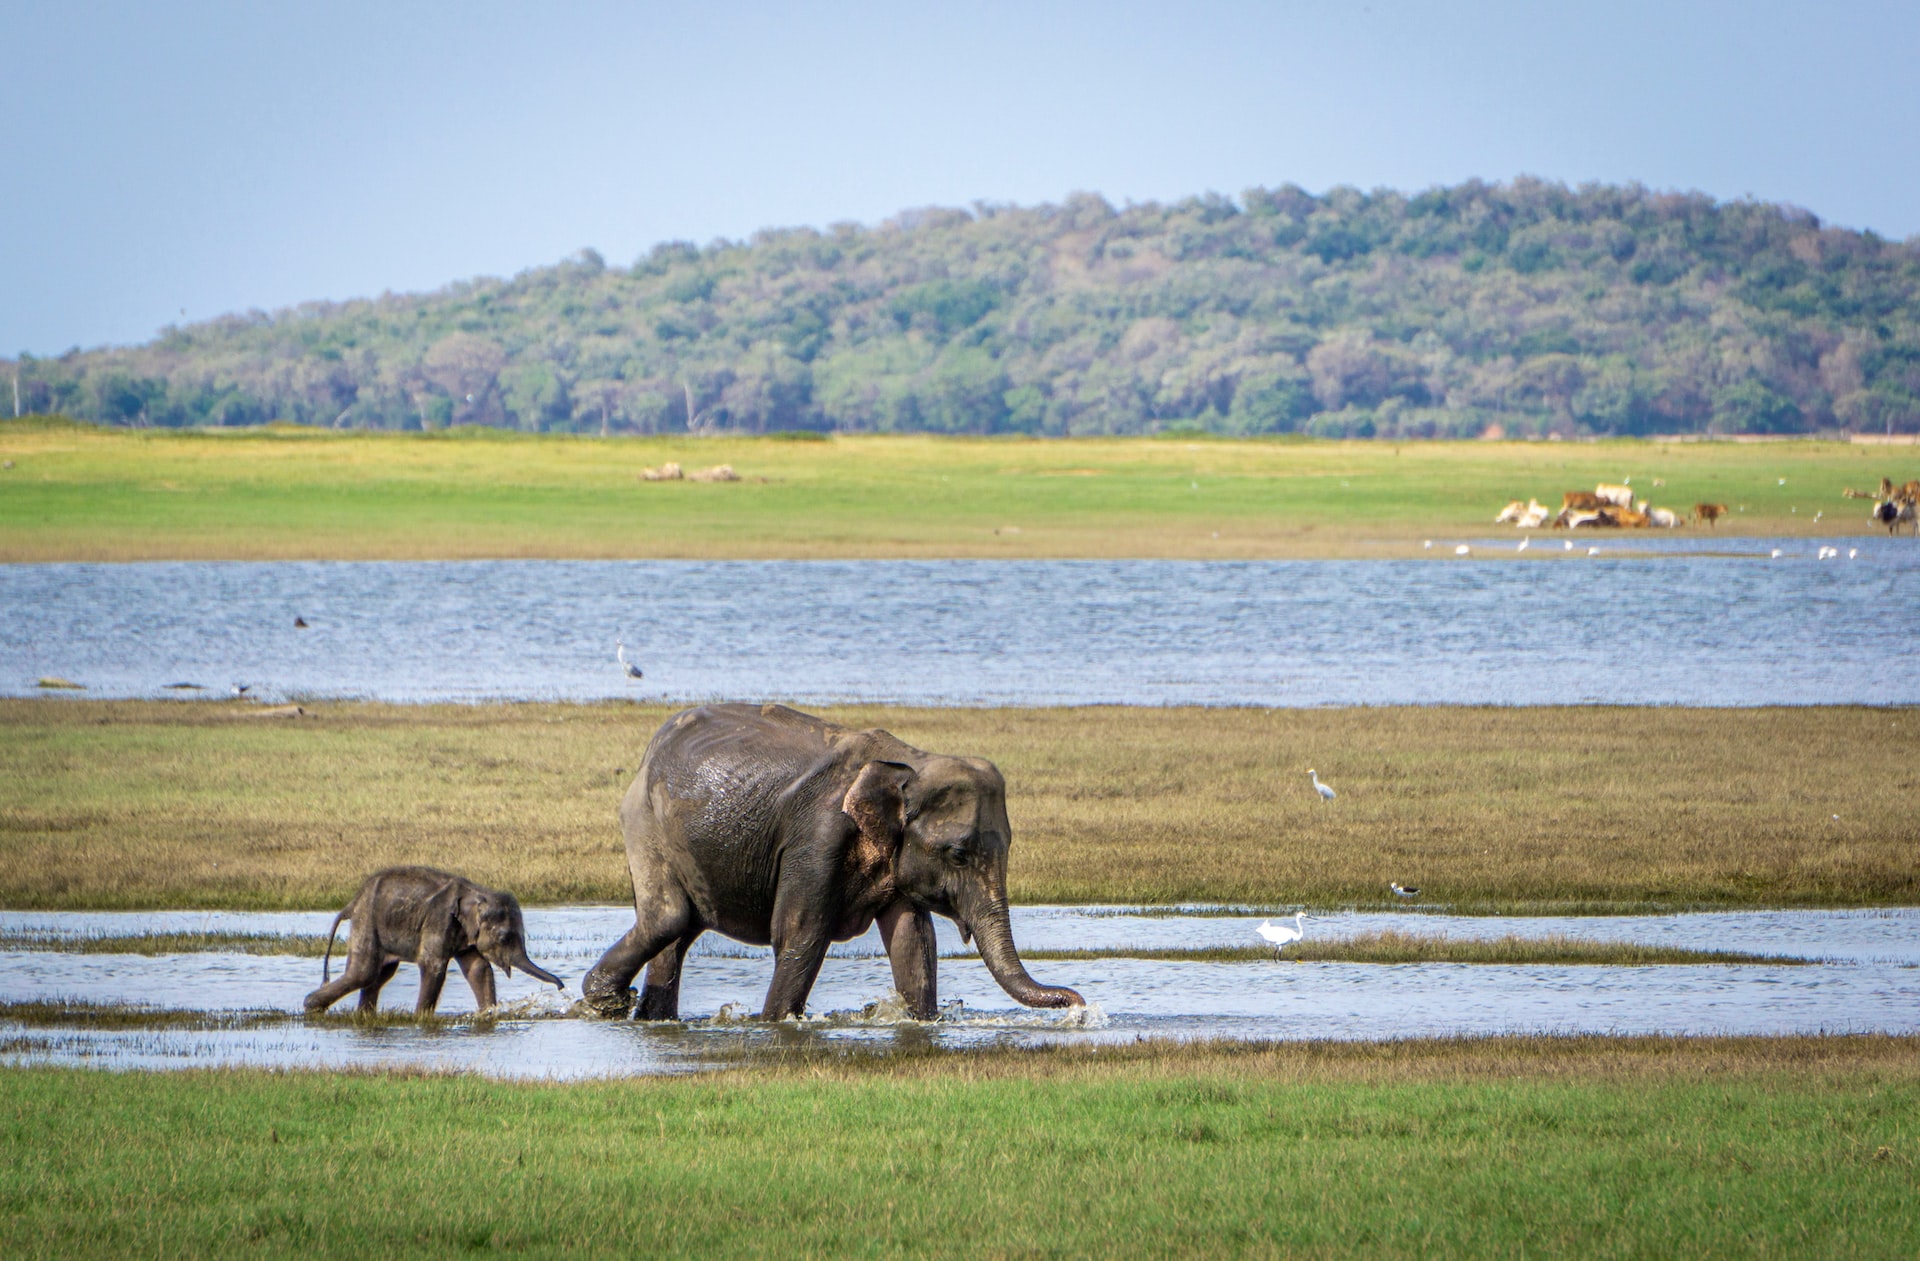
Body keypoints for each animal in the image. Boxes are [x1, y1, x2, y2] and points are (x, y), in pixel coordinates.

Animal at [303, 866, 565, 1015]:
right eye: (503, 937)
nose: (562, 987)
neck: (475, 892)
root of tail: (352, 903)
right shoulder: (438, 920)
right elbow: (434, 966)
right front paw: (420, 1018)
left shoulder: (463, 931)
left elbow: (478, 968)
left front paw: (488, 1014)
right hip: (367, 921)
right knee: (364, 972)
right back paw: (310, 1006)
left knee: (380, 975)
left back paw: (362, 1015)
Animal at [582, 703, 1082, 1021]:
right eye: (958, 854)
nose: (1077, 1003)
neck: (909, 765)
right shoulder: (817, 838)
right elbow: (799, 934)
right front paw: (774, 1025)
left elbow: (913, 941)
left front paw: (923, 1022)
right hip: (644, 821)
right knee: (669, 916)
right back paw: (606, 1002)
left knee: (679, 931)